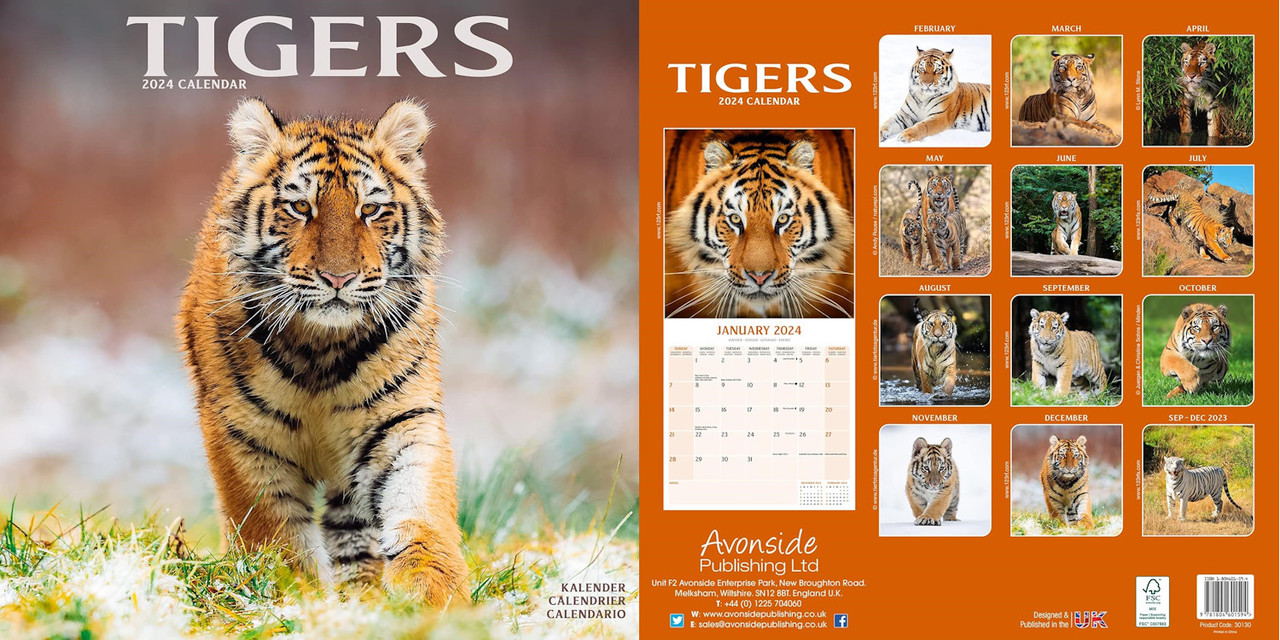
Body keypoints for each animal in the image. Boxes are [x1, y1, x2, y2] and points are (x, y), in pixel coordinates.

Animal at [176, 98, 467, 605]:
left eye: (371, 209)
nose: (338, 278)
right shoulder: (245, 436)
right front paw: (294, 592)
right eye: (299, 207)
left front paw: (435, 590)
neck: (321, 347)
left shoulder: (401, 417)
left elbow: (419, 500)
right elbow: (273, 530)